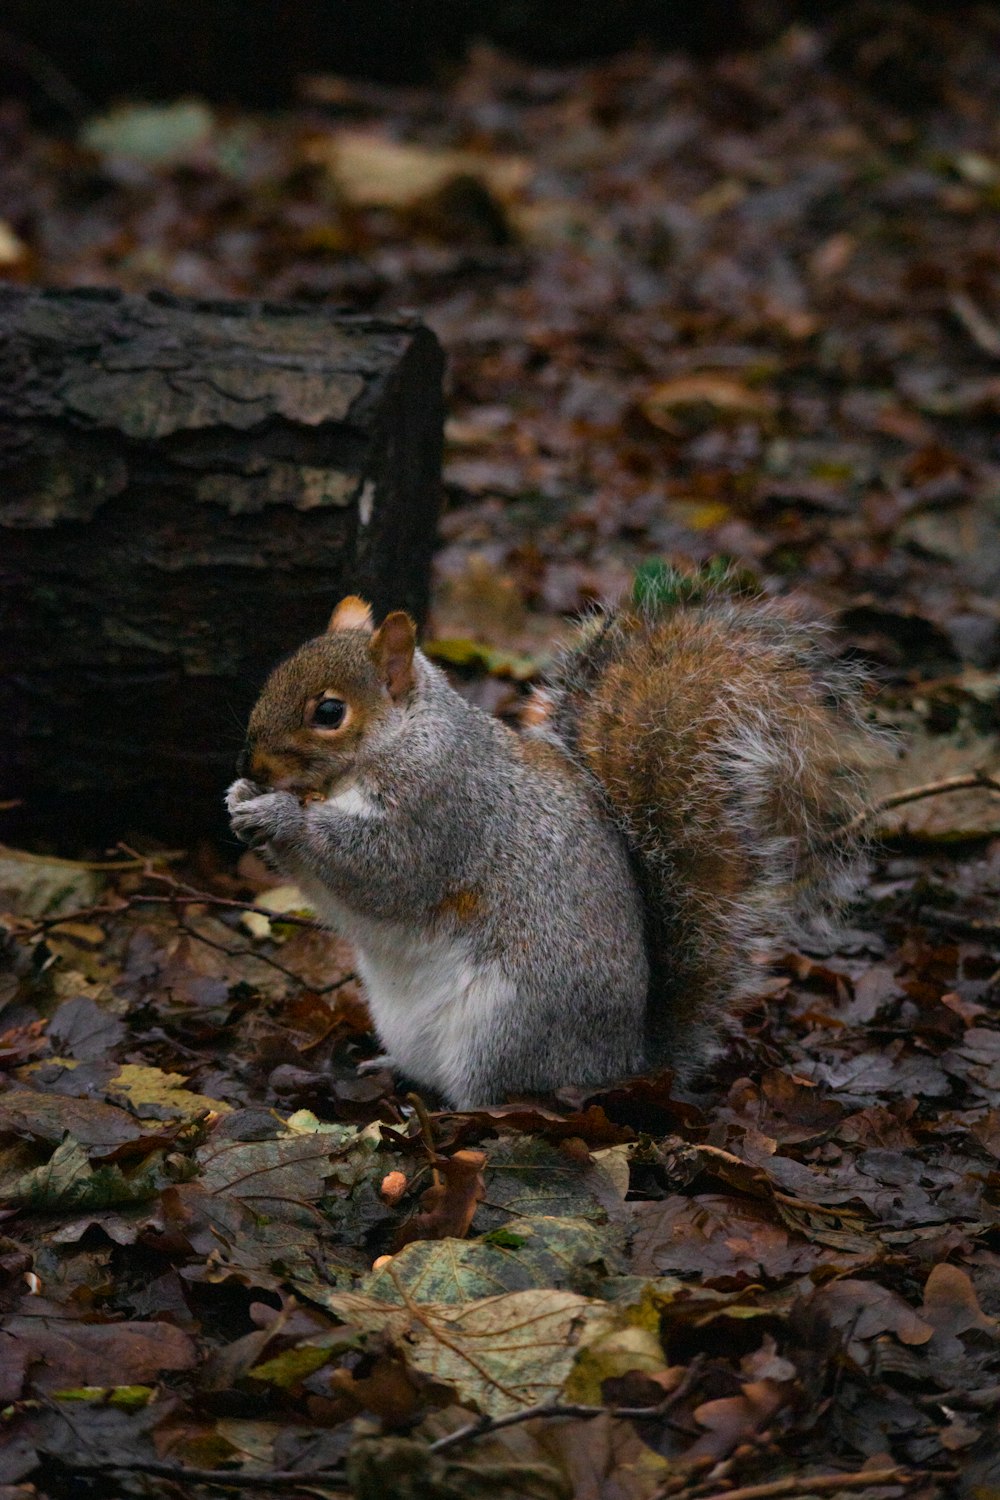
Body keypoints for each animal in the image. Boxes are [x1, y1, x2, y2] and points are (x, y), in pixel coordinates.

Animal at [226, 567, 881, 1110]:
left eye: (329, 713)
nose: (253, 764)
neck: (399, 739)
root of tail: (626, 1064)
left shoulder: (439, 810)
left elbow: (382, 871)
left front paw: (281, 814)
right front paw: (240, 799)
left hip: (507, 1025)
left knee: (497, 1094)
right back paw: (388, 1069)